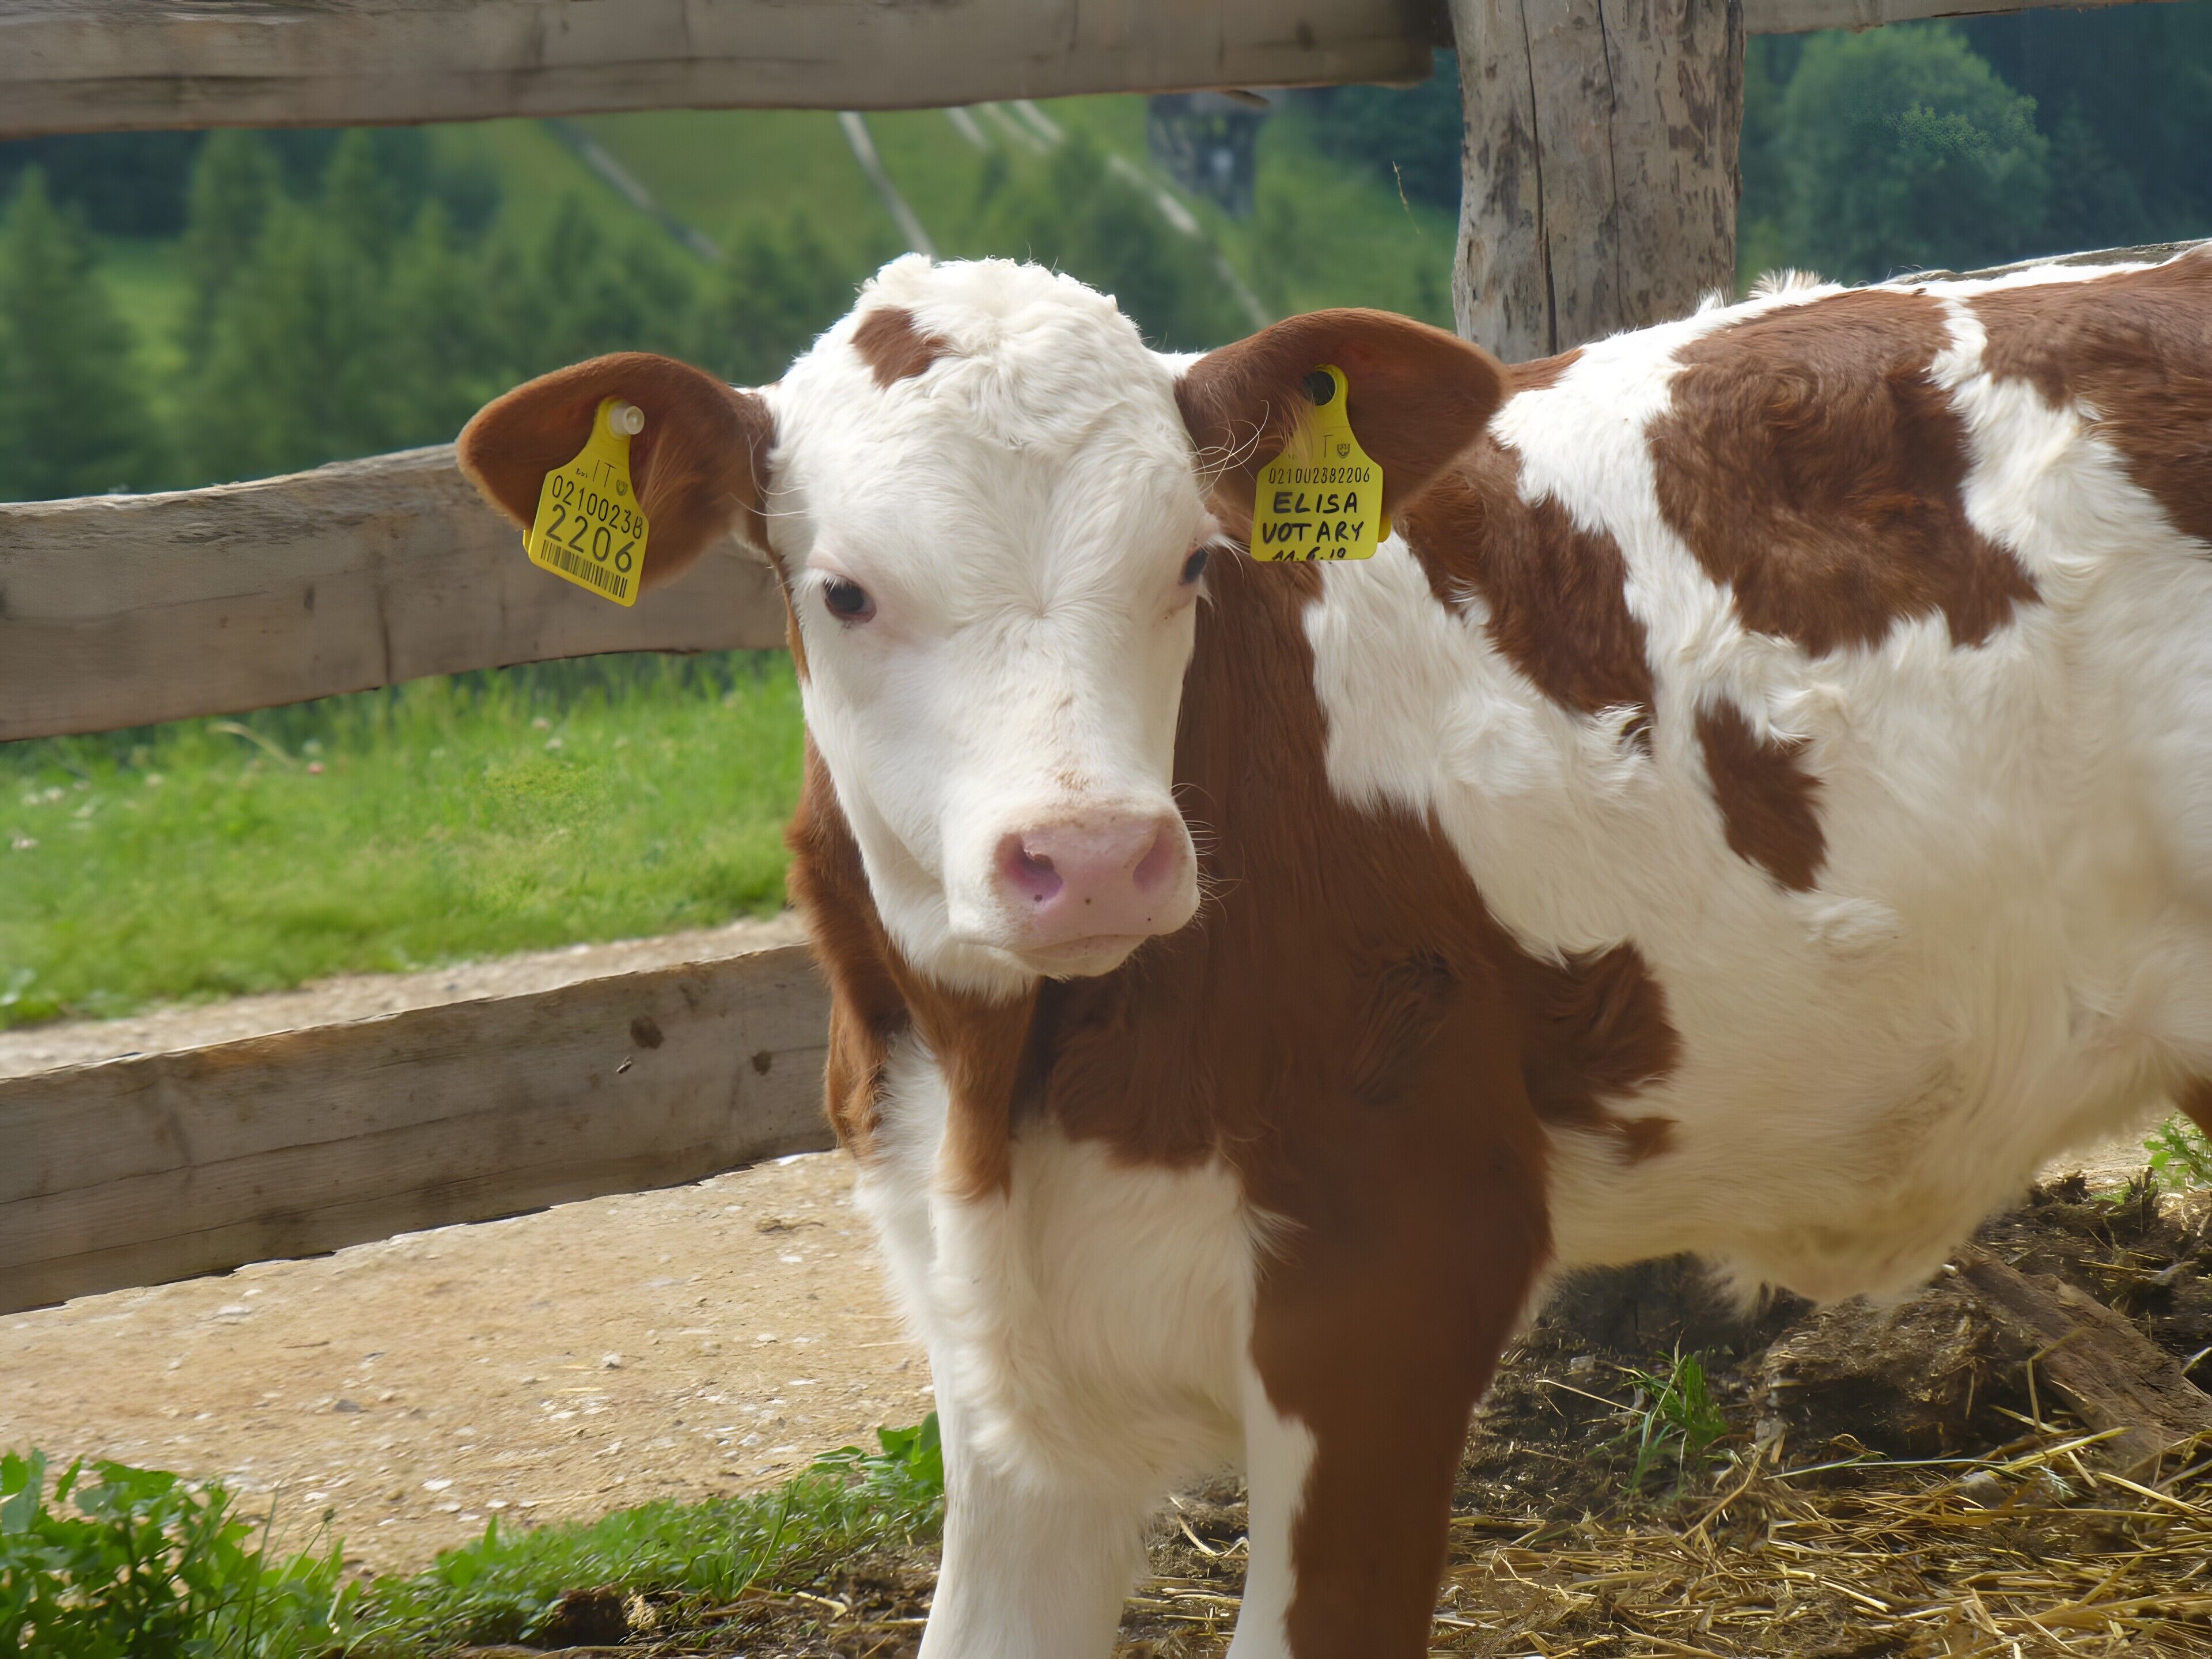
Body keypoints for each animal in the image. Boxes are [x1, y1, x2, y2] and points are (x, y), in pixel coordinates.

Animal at [458, 246, 2212, 1657]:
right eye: (842, 592)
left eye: (1188, 562)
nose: (1091, 858)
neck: (1008, 1079)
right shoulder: (996, 1346)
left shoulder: (1395, 1270)